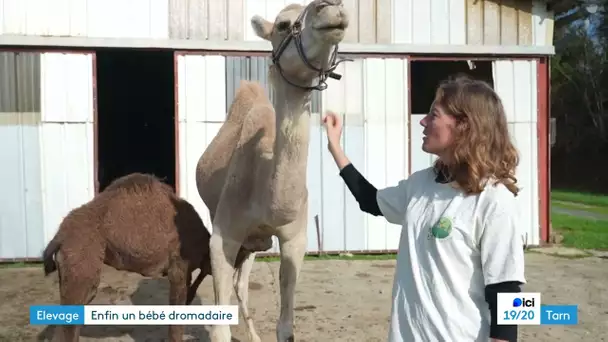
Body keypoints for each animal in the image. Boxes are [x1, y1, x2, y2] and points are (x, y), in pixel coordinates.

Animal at [192, 1, 350, 340]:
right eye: (282, 25)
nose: (331, 8)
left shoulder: (295, 239)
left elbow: (286, 326)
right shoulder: (224, 233)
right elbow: (218, 326)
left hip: (254, 244)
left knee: (241, 284)